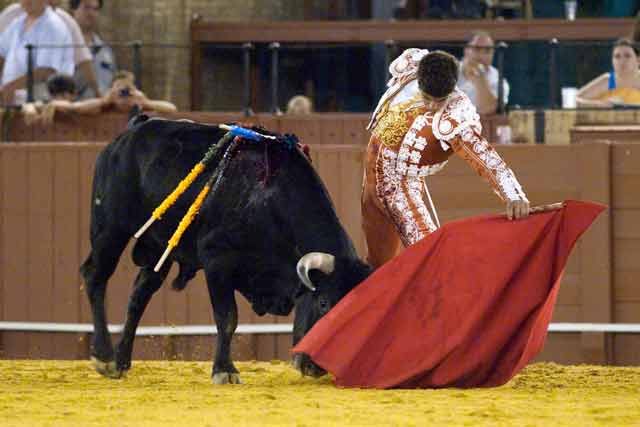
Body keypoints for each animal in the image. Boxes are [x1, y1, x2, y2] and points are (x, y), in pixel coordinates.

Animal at [80, 118, 372, 384]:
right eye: (323, 302)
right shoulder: (217, 261)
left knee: (139, 294)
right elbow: (228, 317)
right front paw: (224, 370)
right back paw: (104, 357)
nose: (315, 367)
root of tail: (130, 131)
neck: (270, 200)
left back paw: (120, 361)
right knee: (95, 276)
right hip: (110, 229)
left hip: (159, 247)